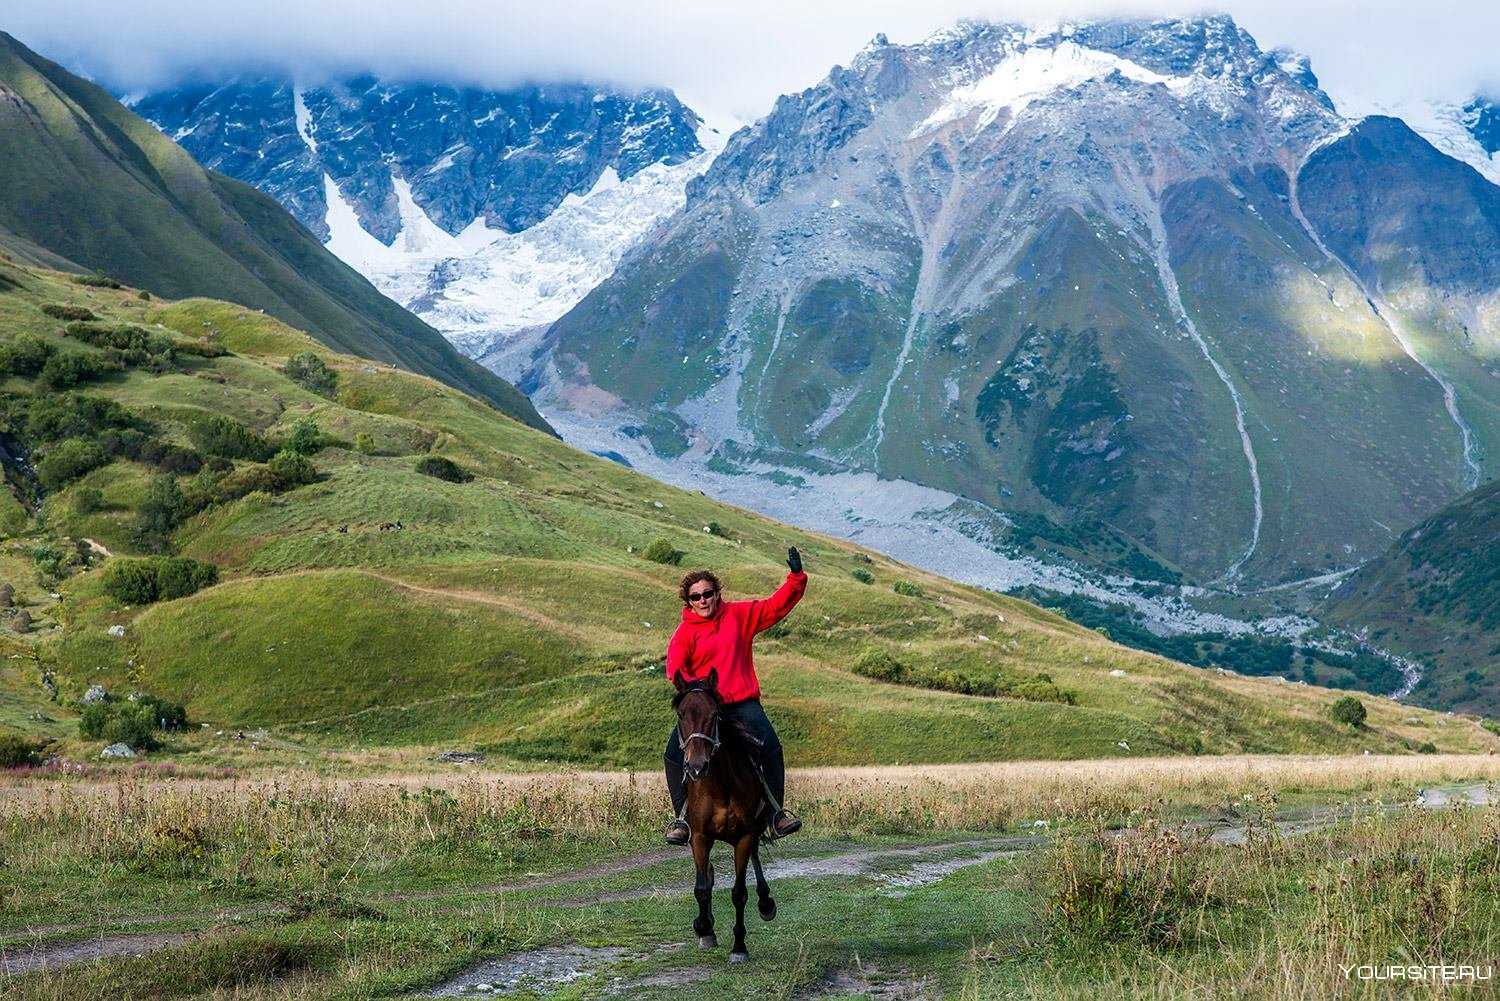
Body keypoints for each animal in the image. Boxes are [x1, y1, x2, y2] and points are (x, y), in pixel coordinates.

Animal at [675, 669, 780, 966]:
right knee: (708, 875)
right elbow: (701, 887)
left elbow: (739, 892)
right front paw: (704, 928)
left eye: (714, 715)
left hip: (755, 827)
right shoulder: (699, 837)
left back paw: (766, 903)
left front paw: (739, 947)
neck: (719, 785)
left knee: (755, 857)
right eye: (681, 715)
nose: (696, 767)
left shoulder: (744, 837)